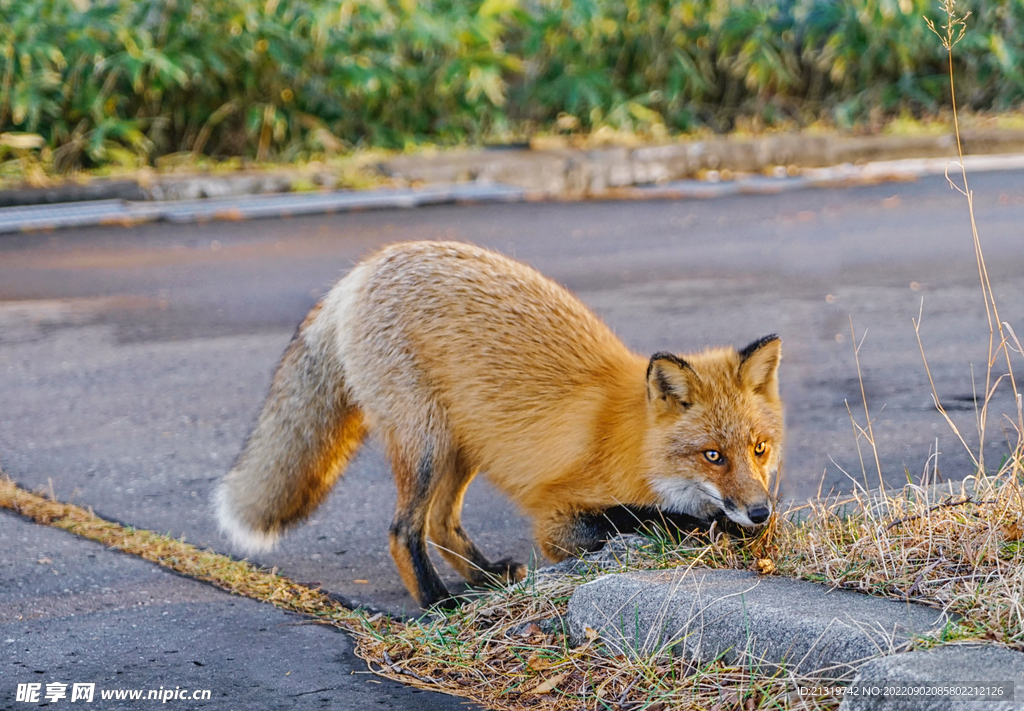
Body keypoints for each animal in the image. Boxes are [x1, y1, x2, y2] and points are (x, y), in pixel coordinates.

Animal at [211, 242, 778, 610]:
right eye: (712, 455)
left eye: (759, 449)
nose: (761, 512)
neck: (636, 445)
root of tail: (367, 266)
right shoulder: (558, 520)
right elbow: (642, 519)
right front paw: (700, 526)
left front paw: (729, 528)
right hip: (426, 444)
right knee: (404, 530)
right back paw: (438, 603)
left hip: (463, 445)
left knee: (441, 525)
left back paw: (487, 580)